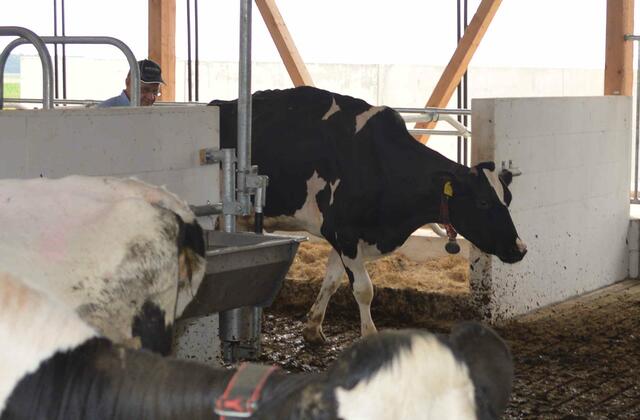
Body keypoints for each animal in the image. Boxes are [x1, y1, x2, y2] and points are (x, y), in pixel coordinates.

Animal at [209, 86, 527, 343]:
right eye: (483, 202)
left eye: (509, 199)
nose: (520, 249)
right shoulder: (344, 231)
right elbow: (364, 289)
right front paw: (370, 336)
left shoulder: (343, 235)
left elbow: (332, 279)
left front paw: (313, 328)